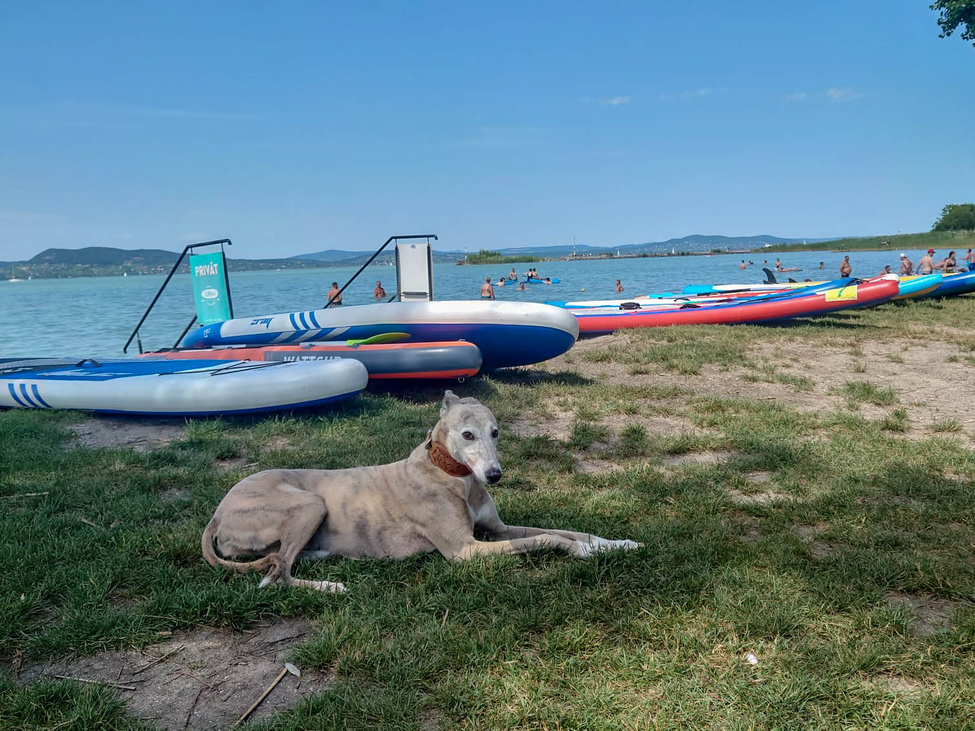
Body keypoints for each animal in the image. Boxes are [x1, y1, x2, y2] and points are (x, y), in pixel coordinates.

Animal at [202, 392, 644, 592]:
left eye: (496, 432)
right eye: (467, 435)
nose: (495, 475)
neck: (454, 476)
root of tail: (217, 514)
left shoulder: (498, 531)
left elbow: (567, 530)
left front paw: (614, 543)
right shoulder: (467, 550)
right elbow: (548, 539)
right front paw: (584, 552)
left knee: (279, 561)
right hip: (309, 504)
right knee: (278, 573)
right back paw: (329, 587)